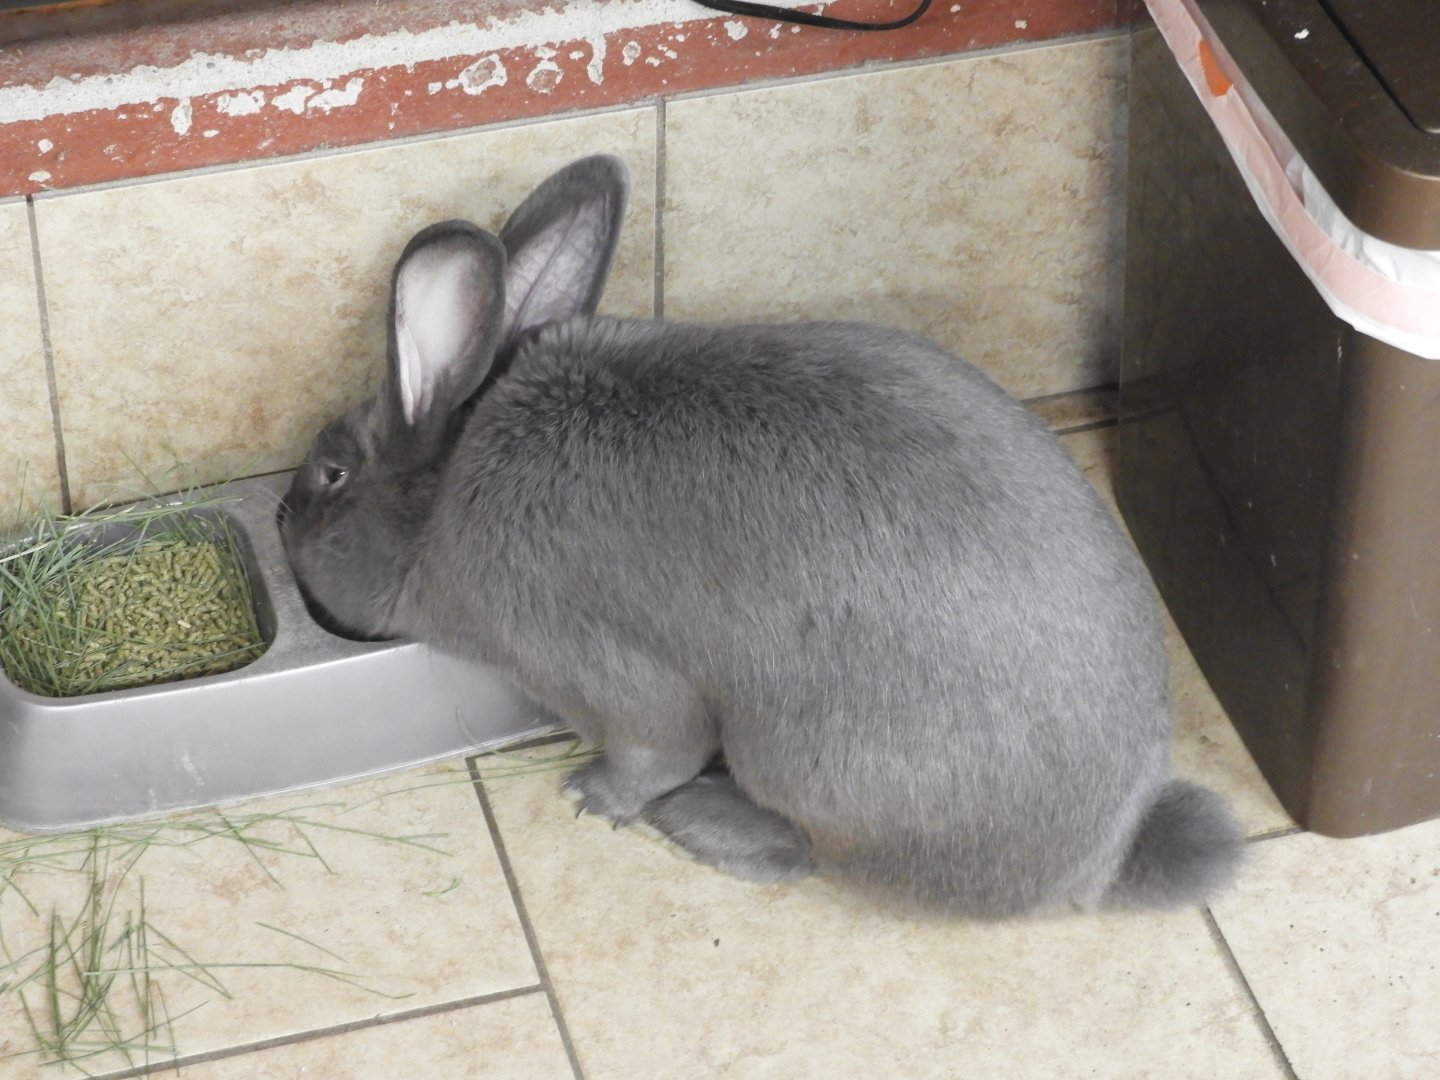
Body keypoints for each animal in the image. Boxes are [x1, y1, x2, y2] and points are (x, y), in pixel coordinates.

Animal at [279, 154, 1242, 917]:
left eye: (330, 474)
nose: (284, 516)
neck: (446, 497)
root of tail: (1096, 863)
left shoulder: (601, 667)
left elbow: (655, 749)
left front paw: (592, 796)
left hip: (802, 759)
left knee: (803, 851)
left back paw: (698, 821)